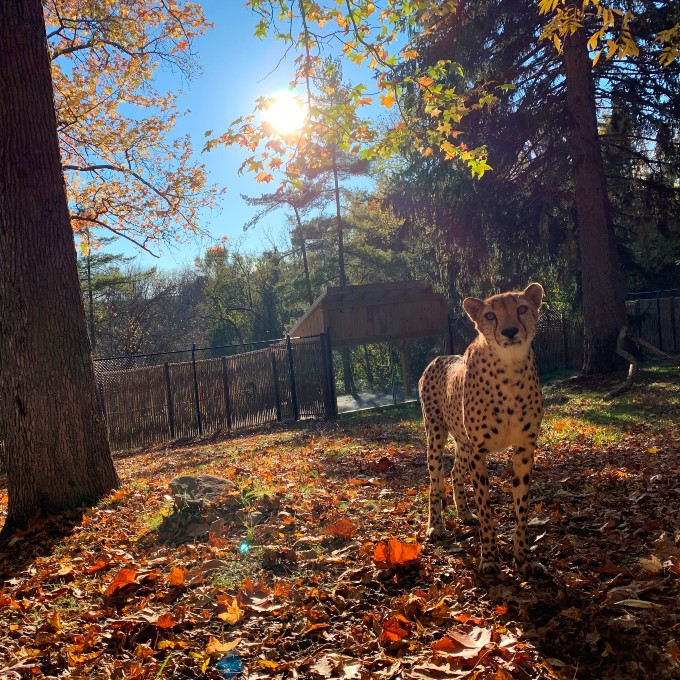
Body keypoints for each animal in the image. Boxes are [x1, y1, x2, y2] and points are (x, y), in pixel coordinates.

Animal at [418, 282, 544, 572]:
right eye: (490, 315)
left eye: (522, 309)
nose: (509, 331)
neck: (510, 368)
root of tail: (439, 358)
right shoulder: (480, 451)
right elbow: (486, 507)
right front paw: (489, 557)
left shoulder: (524, 448)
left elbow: (522, 506)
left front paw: (523, 556)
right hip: (436, 436)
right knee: (435, 480)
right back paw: (436, 526)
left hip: (463, 444)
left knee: (455, 473)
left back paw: (464, 513)